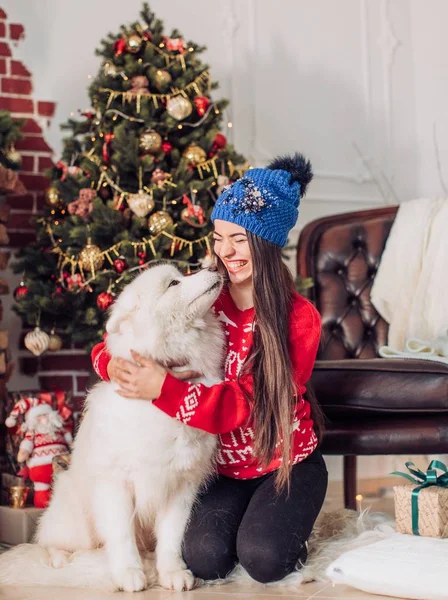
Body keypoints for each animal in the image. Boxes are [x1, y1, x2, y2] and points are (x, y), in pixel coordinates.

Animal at [0, 264, 224, 592]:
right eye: (173, 283)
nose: (213, 266)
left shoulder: (180, 485)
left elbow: (171, 537)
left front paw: (171, 573)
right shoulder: (116, 483)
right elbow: (122, 535)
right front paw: (130, 574)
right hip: (76, 515)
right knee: (47, 544)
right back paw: (63, 560)